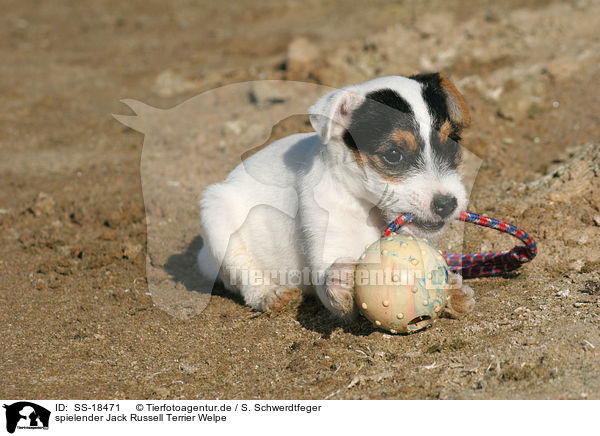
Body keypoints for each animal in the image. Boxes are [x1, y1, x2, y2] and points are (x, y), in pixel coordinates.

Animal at [199, 74, 476, 320]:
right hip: (216, 214)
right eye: (393, 155)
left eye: (452, 145)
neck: (368, 210)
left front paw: (453, 290)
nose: (447, 204)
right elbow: (332, 290)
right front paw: (339, 278)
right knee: (242, 272)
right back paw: (269, 293)